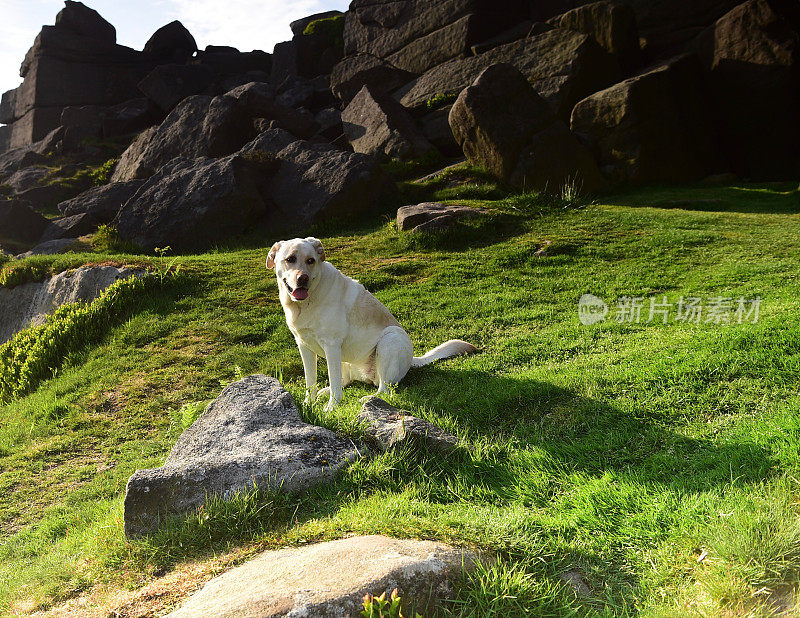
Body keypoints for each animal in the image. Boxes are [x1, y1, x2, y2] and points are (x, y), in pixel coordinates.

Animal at [268, 237, 476, 410]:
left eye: (311, 261)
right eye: (290, 259)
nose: (302, 278)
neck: (306, 302)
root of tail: (411, 360)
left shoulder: (331, 345)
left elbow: (334, 382)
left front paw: (331, 408)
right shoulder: (304, 346)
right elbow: (310, 381)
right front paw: (308, 403)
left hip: (391, 339)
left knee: (384, 390)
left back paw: (369, 398)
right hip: (346, 358)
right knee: (345, 381)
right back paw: (324, 391)